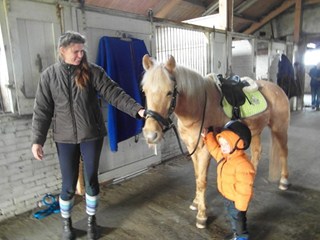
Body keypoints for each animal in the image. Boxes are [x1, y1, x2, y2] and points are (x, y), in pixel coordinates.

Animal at [141, 54, 290, 229]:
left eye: (169, 92)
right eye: (144, 91)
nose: (151, 135)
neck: (198, 106)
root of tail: (278, 89)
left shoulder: (205, 149)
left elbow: (202, 181)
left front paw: (202, 216)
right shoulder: (192, 148)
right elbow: (197, 176)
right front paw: (196, 202)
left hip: (279, 128)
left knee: (283, 152)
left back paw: (284, 181)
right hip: (255, 131)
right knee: (257, 153)